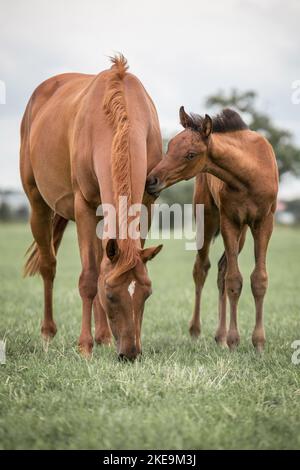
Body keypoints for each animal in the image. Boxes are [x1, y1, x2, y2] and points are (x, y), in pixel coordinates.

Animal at [19, 54, 163, 360]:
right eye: (112, 296)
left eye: (146, 293)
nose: (130, 353)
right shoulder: (83, 206)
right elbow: (89, 280)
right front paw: (84, 346)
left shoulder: (147, 204)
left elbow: (101, 270)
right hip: (38, 205)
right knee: (49, 266)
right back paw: (48, 333)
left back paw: (104, 337)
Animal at [146, 106, 278, 348]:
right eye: (169, 147)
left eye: (191, 154)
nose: (151, 180)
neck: (248, 174)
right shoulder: (229, 220)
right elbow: (235, 280)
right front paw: (235, 340)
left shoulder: (264, 222)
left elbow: (258, 279)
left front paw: (258, 342)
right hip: (207, 219)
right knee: (202, 267)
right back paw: (198, 331)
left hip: (242, 233)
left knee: (221, 268)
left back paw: (220, 335)